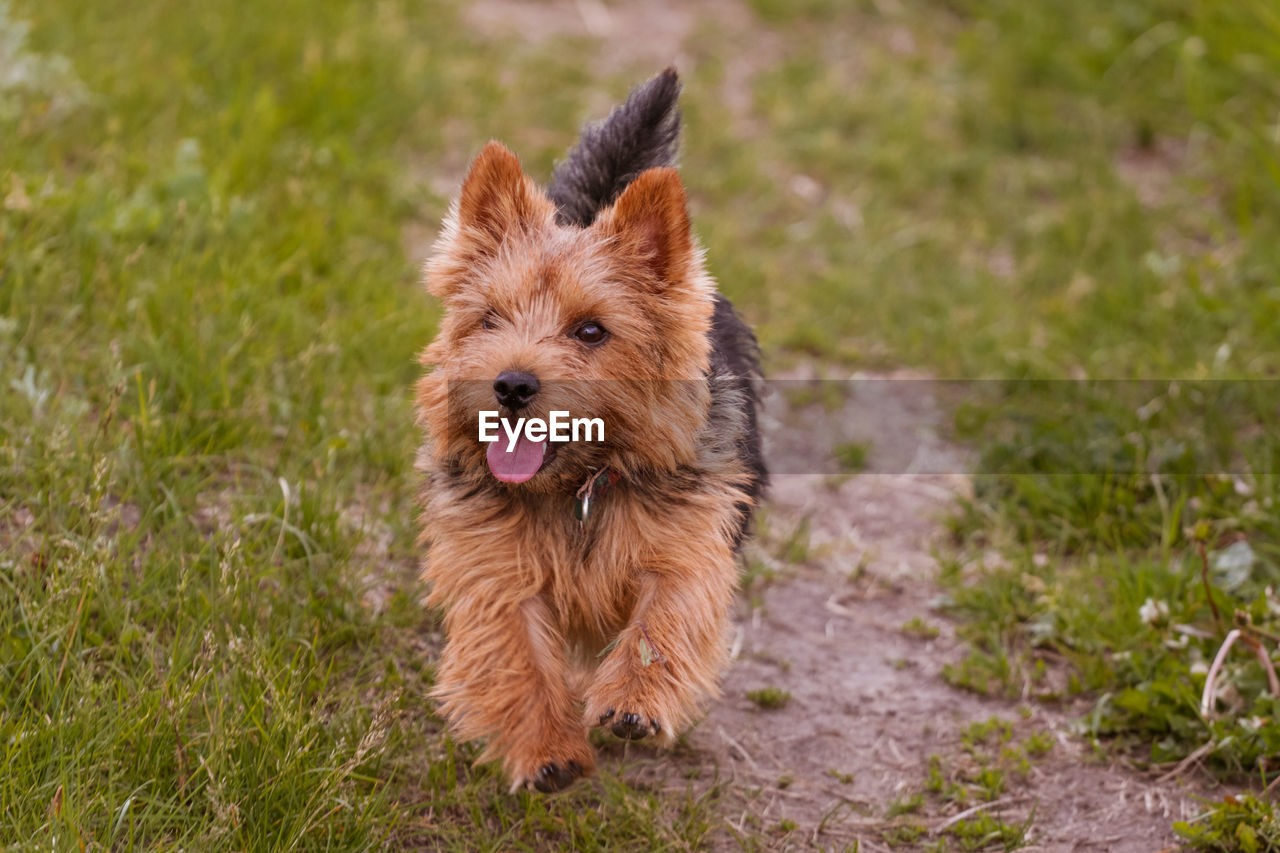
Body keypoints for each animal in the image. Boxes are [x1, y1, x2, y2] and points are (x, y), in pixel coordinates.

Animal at [414, 69, 762, 794]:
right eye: (489, 319)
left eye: (592, 330)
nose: (511, 385)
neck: (578, 483)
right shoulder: (493, 567)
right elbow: (513, 651)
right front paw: (548, 749)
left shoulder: (686, 542)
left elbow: (667, 614)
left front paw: (633, 698)